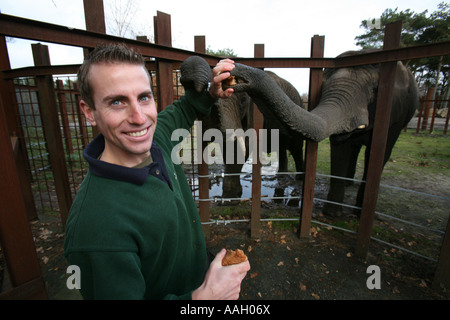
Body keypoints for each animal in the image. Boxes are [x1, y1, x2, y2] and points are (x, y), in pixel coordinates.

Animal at [198, 71, 306, 199]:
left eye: (243, 100)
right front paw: (230, 196)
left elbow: (243, 146)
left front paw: (232, 196)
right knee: (281, 148)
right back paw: (281, 177)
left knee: (296, 148)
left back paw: (299, 179)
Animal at [220, 50, 420, 218]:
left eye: (374, 91)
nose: (233, 69)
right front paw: (228, 198)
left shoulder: (395, 117)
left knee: (294, 146)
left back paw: (299, 179)